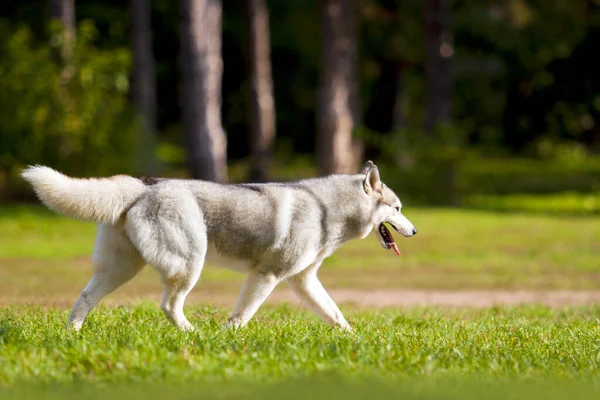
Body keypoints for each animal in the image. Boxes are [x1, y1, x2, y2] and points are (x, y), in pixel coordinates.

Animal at [22, 161, 418, 332]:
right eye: (398, 209)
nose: (414, 231)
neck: (325, 210)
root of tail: (144, 185)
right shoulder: (266, 276)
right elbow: (242, 316)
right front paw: (228, 341)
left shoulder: (303, 281)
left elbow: (336, 315)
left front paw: (354, 342)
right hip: (188, 266)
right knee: (168, 305)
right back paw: (193, 336)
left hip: (120, 270)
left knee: (85, 298)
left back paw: (73, 335)